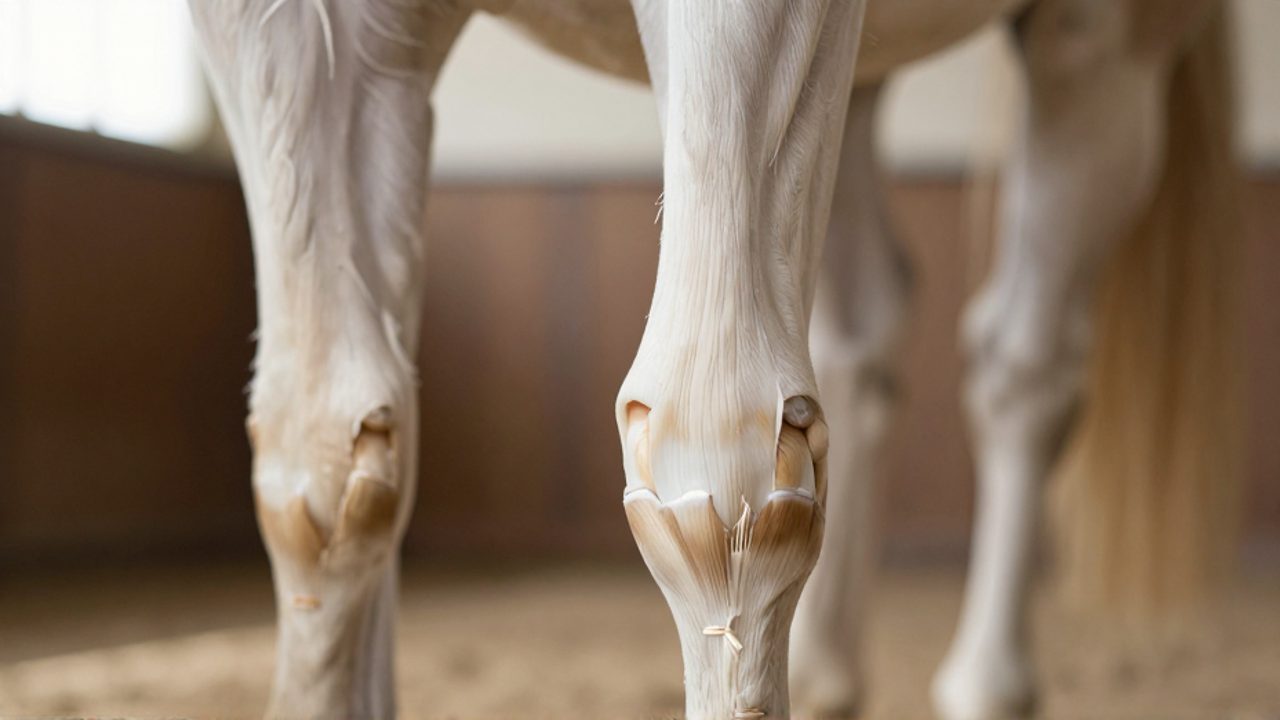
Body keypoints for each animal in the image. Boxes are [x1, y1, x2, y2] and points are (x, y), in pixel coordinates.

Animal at [186, 0, 1239, 718]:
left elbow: (719, 465)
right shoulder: (295, 26)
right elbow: (324, 465)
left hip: (1100, 42)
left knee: (1025, 366)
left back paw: (987, 683)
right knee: (867, 330)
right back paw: (824, 672)